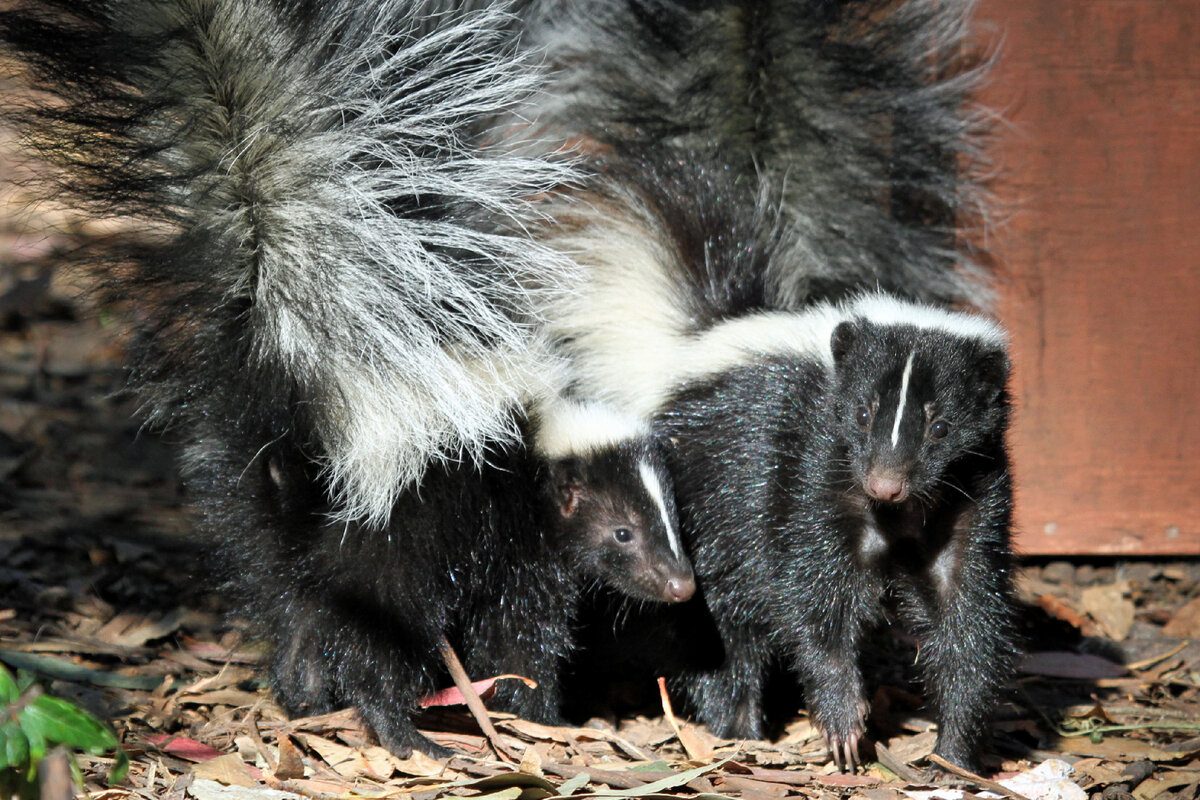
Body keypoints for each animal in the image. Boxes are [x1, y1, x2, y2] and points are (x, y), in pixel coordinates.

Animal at [206, 398, 691, 762]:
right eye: (623, 533)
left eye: (673, 520)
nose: (681, 585)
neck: (531, 477)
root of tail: (306, 499)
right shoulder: (521, 558)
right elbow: (517, 643)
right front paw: (546, 720)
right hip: (385, 578)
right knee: (379, 659)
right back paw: (407, 738)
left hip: (292, 574)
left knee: (299, 636)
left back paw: (308, 708)